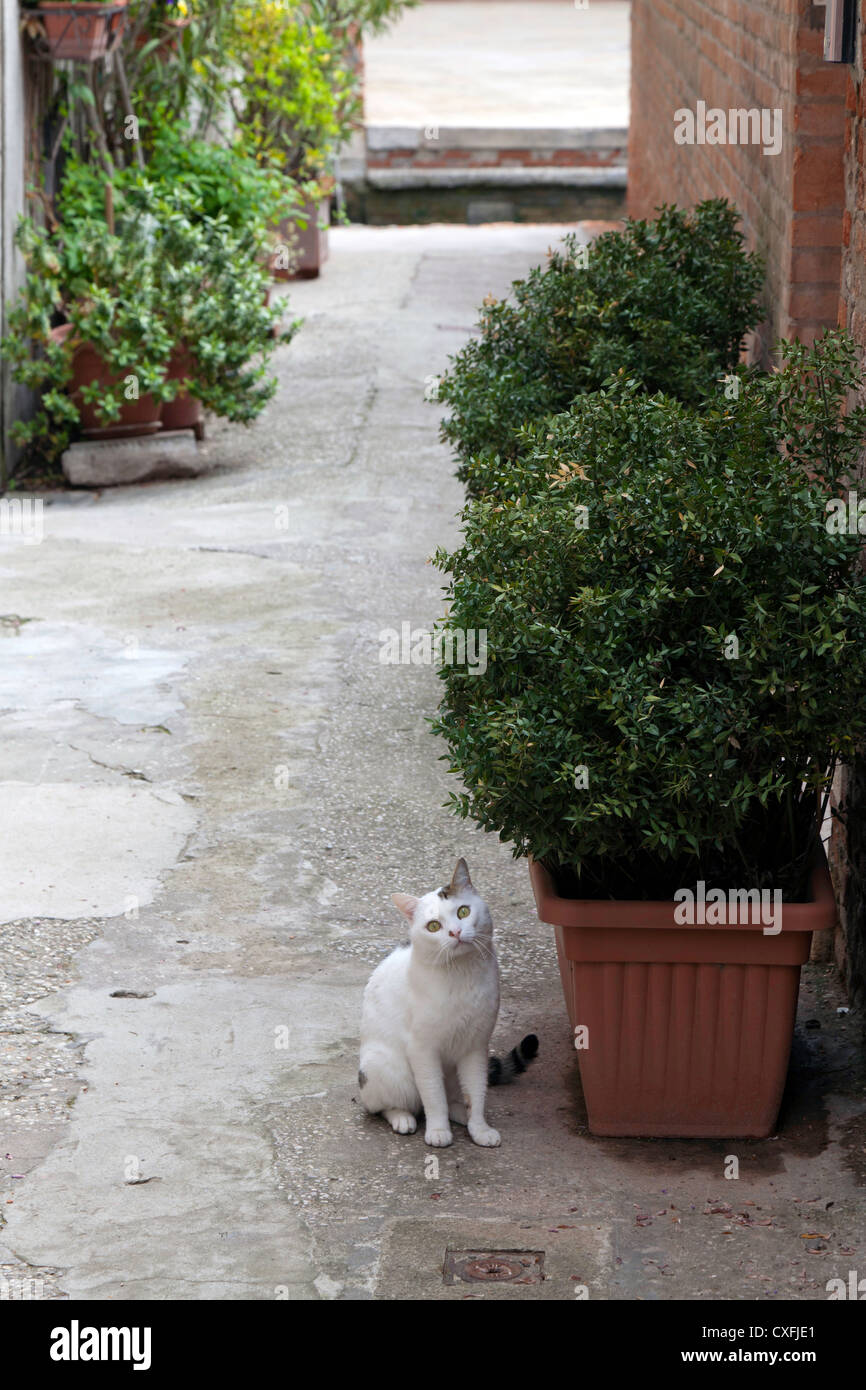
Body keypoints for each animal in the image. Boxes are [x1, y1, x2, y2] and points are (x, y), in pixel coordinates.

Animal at [358, 861, 505, 1145]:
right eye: (434, 926)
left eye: (463, 911)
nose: (455, 932)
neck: (461, 974)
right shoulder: (422, 1050)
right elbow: (433, 1096)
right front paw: (438, 1131)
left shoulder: (476, 1045)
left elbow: (476, 1093)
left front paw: (479, 1128)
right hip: (386, 1067)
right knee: (385, 1106)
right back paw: (403, 1118)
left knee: (454, 1098)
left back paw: (460, 1114)